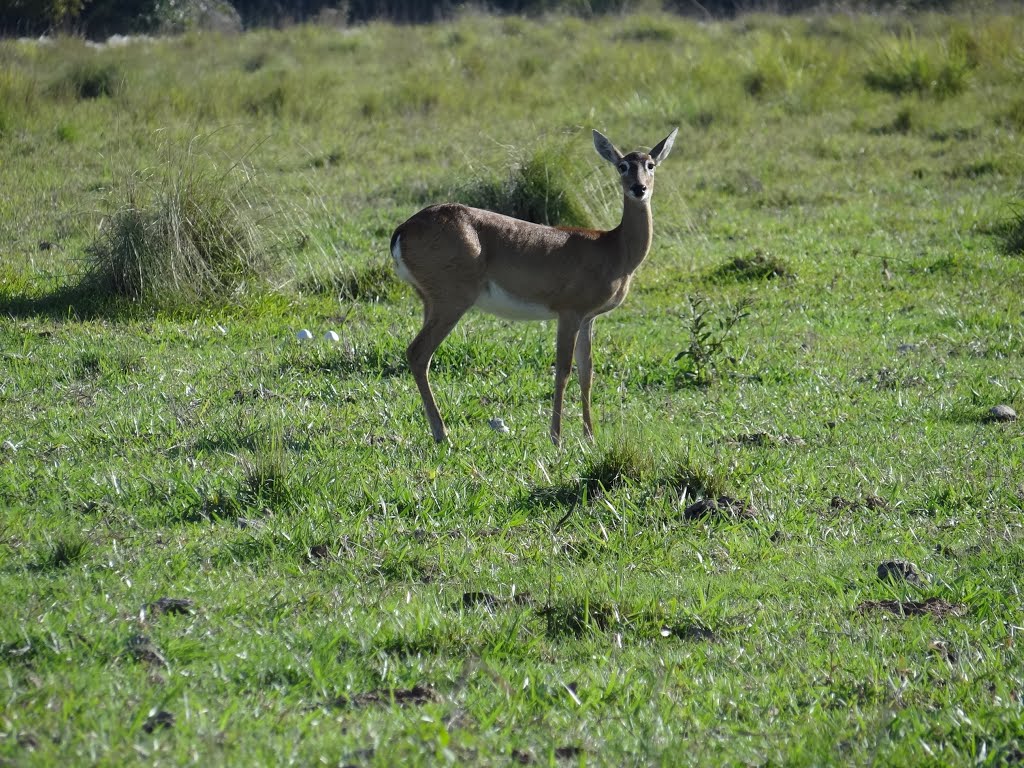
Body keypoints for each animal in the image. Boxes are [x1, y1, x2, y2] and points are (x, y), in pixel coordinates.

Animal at [387, 128, 675, 444]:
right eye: (623, 165)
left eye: (650, 164)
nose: (639, 188)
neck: (614, 249)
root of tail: (402, 231)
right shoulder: (569, 312)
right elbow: (563, 370)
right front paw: (557, 438)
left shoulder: (588, 317)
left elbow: (587, 372)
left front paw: (589, 437)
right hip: (452, 301)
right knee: (418, 352)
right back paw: (443, 434)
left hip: (430, 301)